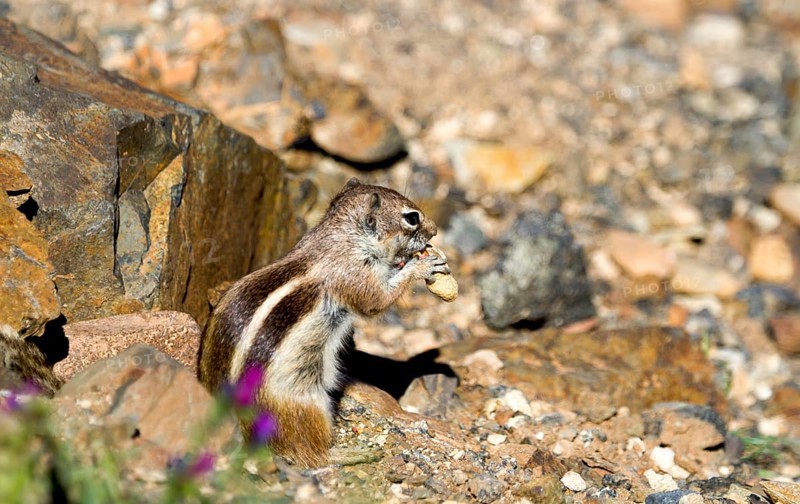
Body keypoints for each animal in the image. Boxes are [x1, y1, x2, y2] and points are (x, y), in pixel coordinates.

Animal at [197, 178, 450, 467]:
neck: (343, 236)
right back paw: (353, 453)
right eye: (412, 218)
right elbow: (377, 300)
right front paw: (421, 267)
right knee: (310, 454)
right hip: (305, 405)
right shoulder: (355, 275)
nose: (435, 230)